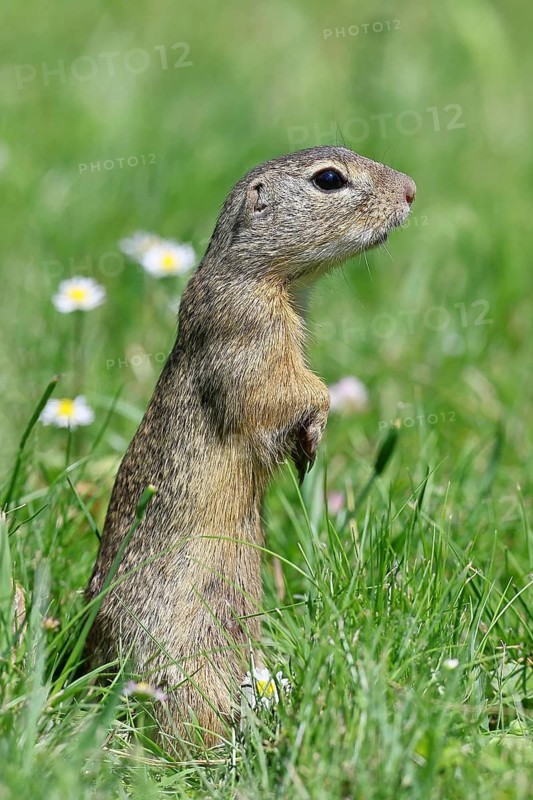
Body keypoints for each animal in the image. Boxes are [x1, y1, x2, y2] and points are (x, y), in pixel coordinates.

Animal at [86, 146, 415, 748]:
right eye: (329, 179)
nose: (411, 189)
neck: (267, 277)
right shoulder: (250, 331)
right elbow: (285, 389)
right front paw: (316, 426)